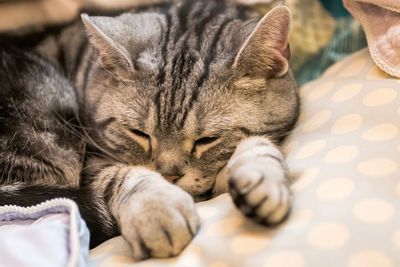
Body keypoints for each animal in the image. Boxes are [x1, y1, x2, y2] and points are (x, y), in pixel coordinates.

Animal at [1, 0, 298, 260]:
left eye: (207, 139)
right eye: (139, 134)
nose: (169, 175)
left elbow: (258, 145)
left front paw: (260, 178)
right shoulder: (93, 163)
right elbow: (122, 176)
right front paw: (156, 210)